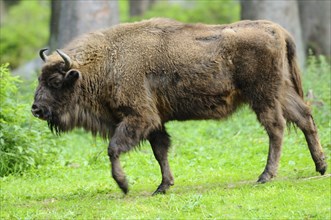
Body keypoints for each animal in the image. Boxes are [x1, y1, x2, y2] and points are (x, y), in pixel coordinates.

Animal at [32, 18, 328, 194]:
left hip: (262, 96)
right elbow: (160, 151)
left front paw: (125, 185)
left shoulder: (139, 117)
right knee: (305, 118)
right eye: (39, 78)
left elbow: (114, 148)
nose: (36, 109)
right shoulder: (155, 123)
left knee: (276, 128)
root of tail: (277, 30)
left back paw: (266, 175)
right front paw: (163, 186)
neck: (108, 62)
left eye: (56, 81)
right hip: (282, 92)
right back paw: (321, 167)